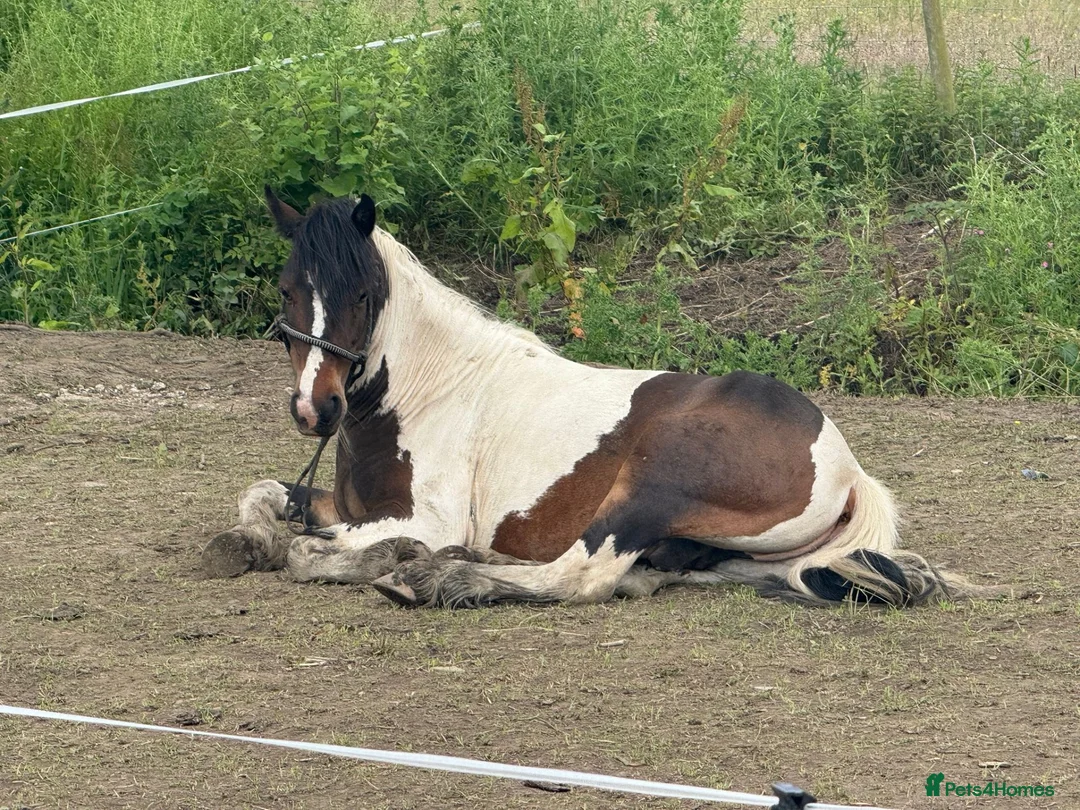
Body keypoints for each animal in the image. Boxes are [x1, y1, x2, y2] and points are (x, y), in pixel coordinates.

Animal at [202, 188, 982, 609]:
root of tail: (847, 465)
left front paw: (383, 557)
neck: (429, 391)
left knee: (584, 573)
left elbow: (311, 553)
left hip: (648, 488)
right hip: (734, 551)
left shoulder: (422, 514)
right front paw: (246, 540)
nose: (316, 409)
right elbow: (261, 496)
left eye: (362, 295)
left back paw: (441, 577)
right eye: (286, 290)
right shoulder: (344, 503)